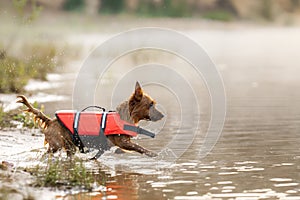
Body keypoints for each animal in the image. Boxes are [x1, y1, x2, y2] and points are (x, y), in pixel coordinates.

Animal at [16, 82, 164, 157]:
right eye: (150, 105)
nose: (163, 115)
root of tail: (51, 120)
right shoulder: (122, 142)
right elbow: (139, 147)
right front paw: (152, 153)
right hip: (56, 145)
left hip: (70, 147)